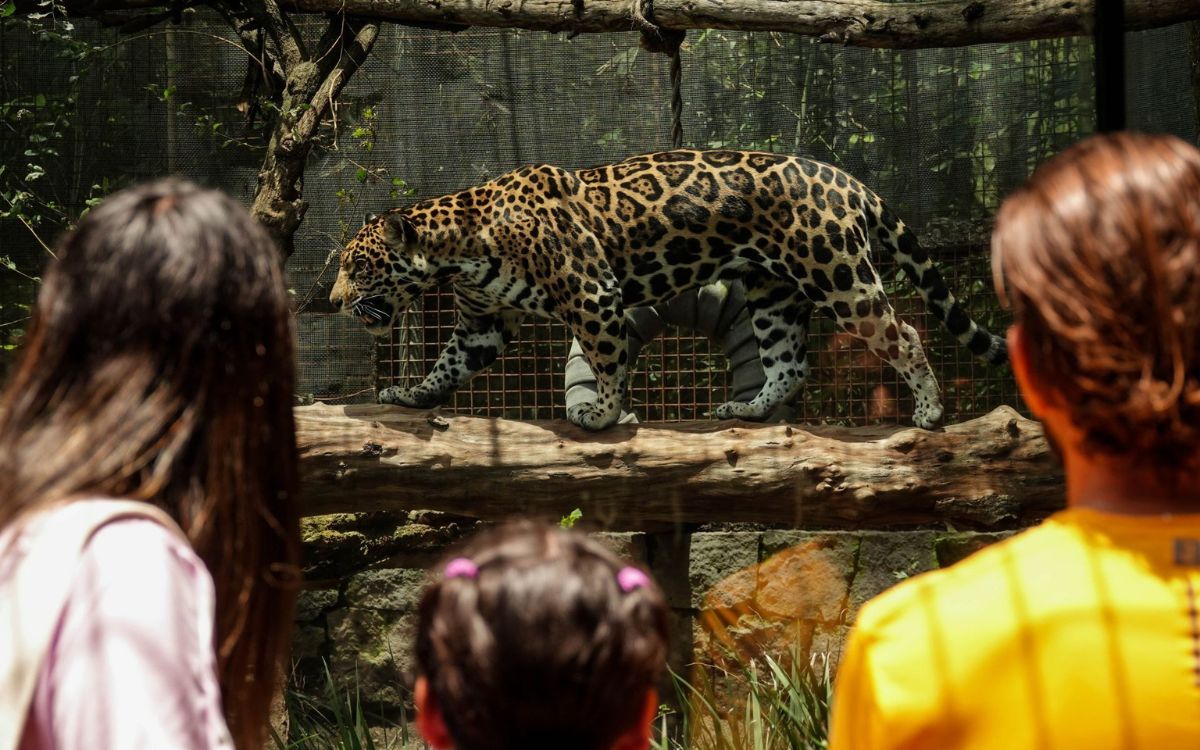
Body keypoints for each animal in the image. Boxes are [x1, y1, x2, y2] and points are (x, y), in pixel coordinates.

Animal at [329, 149, 1007, 431]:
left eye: (357, 267)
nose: (334, 302)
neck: (457, 249)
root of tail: (850, 181)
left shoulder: (592, 293)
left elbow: (607, 361)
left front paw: (602, 413)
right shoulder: (481, 323)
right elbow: (447, 363)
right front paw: (411, 394)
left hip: (838, 276)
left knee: (907, 333)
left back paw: (929, 412)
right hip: (771, 292)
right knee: (789, 364)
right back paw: (747, 409)